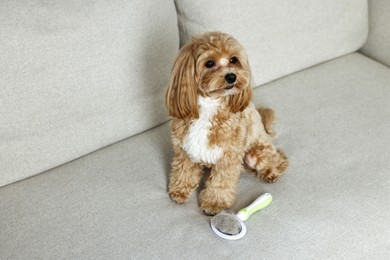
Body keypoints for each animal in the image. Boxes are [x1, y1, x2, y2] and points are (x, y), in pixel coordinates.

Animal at [164, 31, 286, 215]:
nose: (231, 76)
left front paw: (214, 204)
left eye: (233, 60)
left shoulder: (228, 155)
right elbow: (183, 170)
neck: (209, 107)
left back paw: (271, 172)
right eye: (209, 63)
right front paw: (179, 190)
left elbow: (221, 182)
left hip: (257, 152)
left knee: (279, 158)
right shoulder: (184, 149)